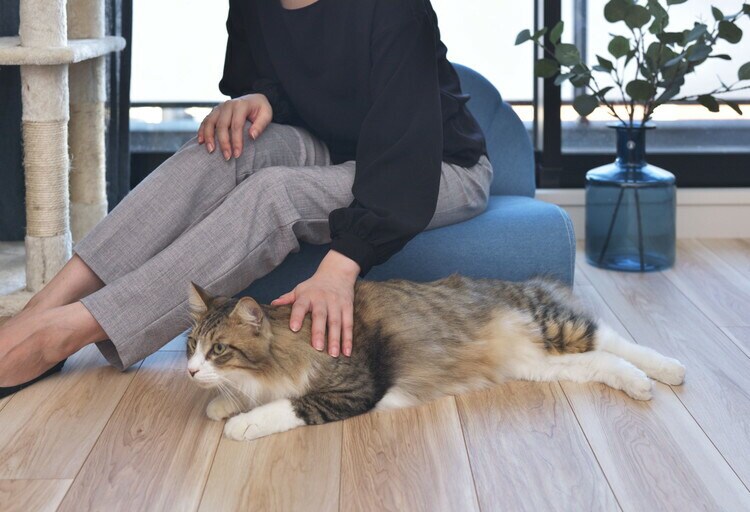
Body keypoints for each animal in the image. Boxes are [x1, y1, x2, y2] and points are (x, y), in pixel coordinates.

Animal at [185, 274, 685, 442]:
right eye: (192, 346)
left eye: (219, 349)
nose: (189, 370)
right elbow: (235, 395)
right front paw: (221, 404)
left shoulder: (355, 389)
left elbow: (287, 406)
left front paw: (241, 424)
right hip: (540, 365)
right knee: (603, 362)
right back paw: (641, 384)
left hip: (552, 324)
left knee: (612, 338)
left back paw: (671, 370)